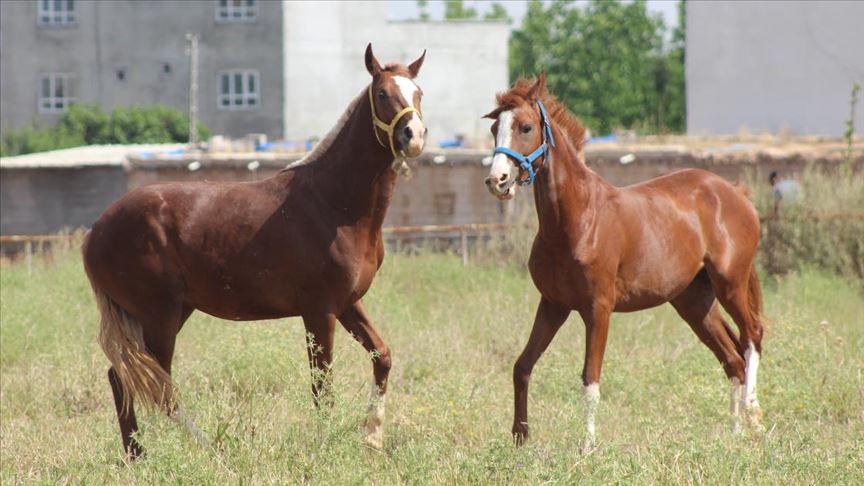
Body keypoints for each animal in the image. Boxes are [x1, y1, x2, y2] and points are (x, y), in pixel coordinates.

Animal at [82, 43, 426, 458]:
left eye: (418, 93)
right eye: (383, 94)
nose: (414, 135)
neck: (332, 203)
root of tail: (95, 231)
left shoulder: (347, 304)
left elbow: (382, 356)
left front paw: (372, 437)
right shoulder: (319, 311)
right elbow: (322, 387)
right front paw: (326, 444)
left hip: (167, 313)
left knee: (122, 377)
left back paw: (137, 456)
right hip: (159, 316)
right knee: (160, 389)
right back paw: (212, 450)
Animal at [482, 74, 768, 450]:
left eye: (526, 127)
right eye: (494, 129)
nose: (497, 181)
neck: (577, 220)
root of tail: (735, 192)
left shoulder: (598, 309)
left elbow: (590, 380)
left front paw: (588, 446)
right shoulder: (553, 305)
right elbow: (522, 366)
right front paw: (520, 436)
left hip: (731, 285)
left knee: (752, 338)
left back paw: (754, 418)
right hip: (694, 302)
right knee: (732, 358)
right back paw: (735, 433)